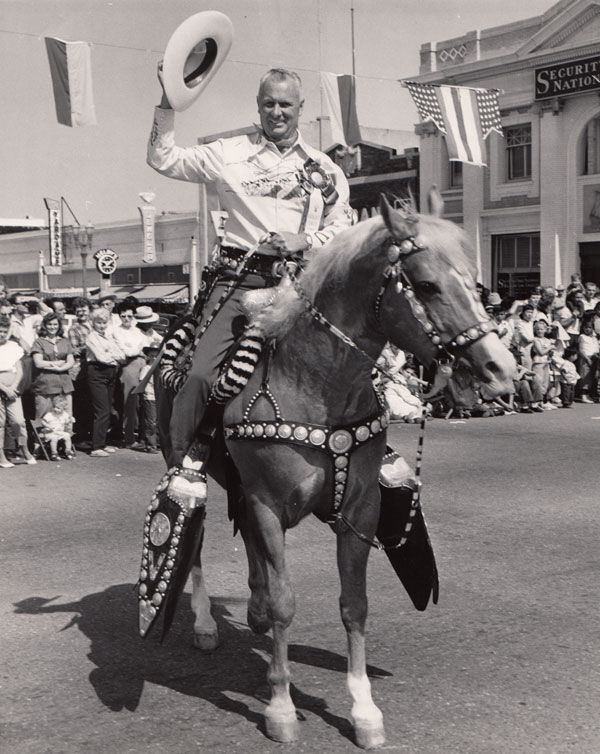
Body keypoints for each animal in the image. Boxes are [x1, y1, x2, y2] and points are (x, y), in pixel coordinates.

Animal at [175, 194, 516, 748]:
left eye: (477, 283)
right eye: (426, 285)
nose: (500, 368)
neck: (316, 385)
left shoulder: (358, 508)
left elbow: (354, 604)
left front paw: (364, 711)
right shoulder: (268, 504)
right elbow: (285, 602)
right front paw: (280, 706)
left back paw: (251, 609)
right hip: (182, 460)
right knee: (199, 544)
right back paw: (206, 623)